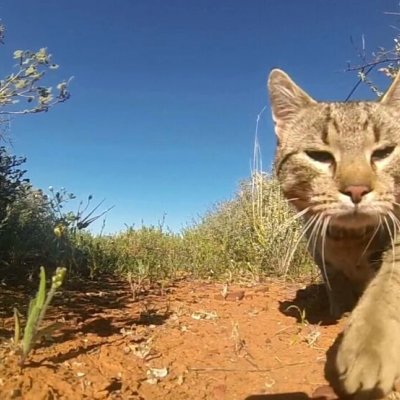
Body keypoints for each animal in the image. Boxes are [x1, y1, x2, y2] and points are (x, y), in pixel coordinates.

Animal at [268, 70, 400, 398]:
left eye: (384, 152)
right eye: (319, 156)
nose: (357, 190)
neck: (348, 242)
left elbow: (388, 283)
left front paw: (367, 346)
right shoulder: (324, 260)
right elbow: (336, 288)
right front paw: (338, 313)